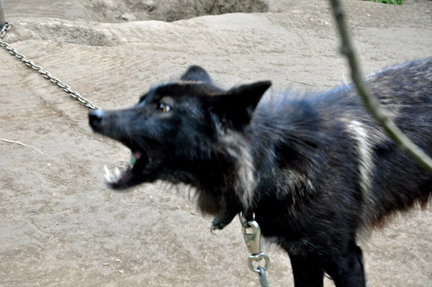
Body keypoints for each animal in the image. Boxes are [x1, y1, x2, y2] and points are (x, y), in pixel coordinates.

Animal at [88, 57, 432, 286]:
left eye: (163, 108)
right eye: (141, 100)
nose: (94, 115)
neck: (273, 161)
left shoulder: (346, 260)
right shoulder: (303, 257)